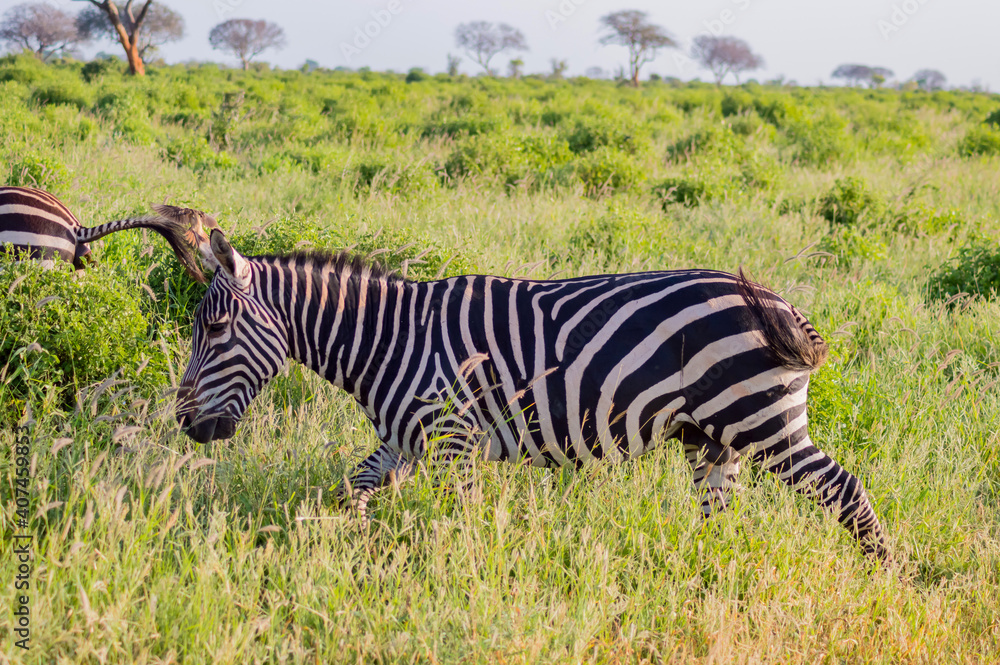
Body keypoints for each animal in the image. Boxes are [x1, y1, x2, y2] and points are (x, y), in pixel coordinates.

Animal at [175, 229, 889, 560]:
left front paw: (455, 583)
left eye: (213, 330)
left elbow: (453, 521)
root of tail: (782, 305)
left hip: (761, 419)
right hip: (714, 438)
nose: (186, 426)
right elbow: (350, 493)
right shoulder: (401, 442)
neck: (390, 341)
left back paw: (887, 578)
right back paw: (702, 573)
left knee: (844, 490)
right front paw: (325, 548)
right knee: (720, 511)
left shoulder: (452, 437)